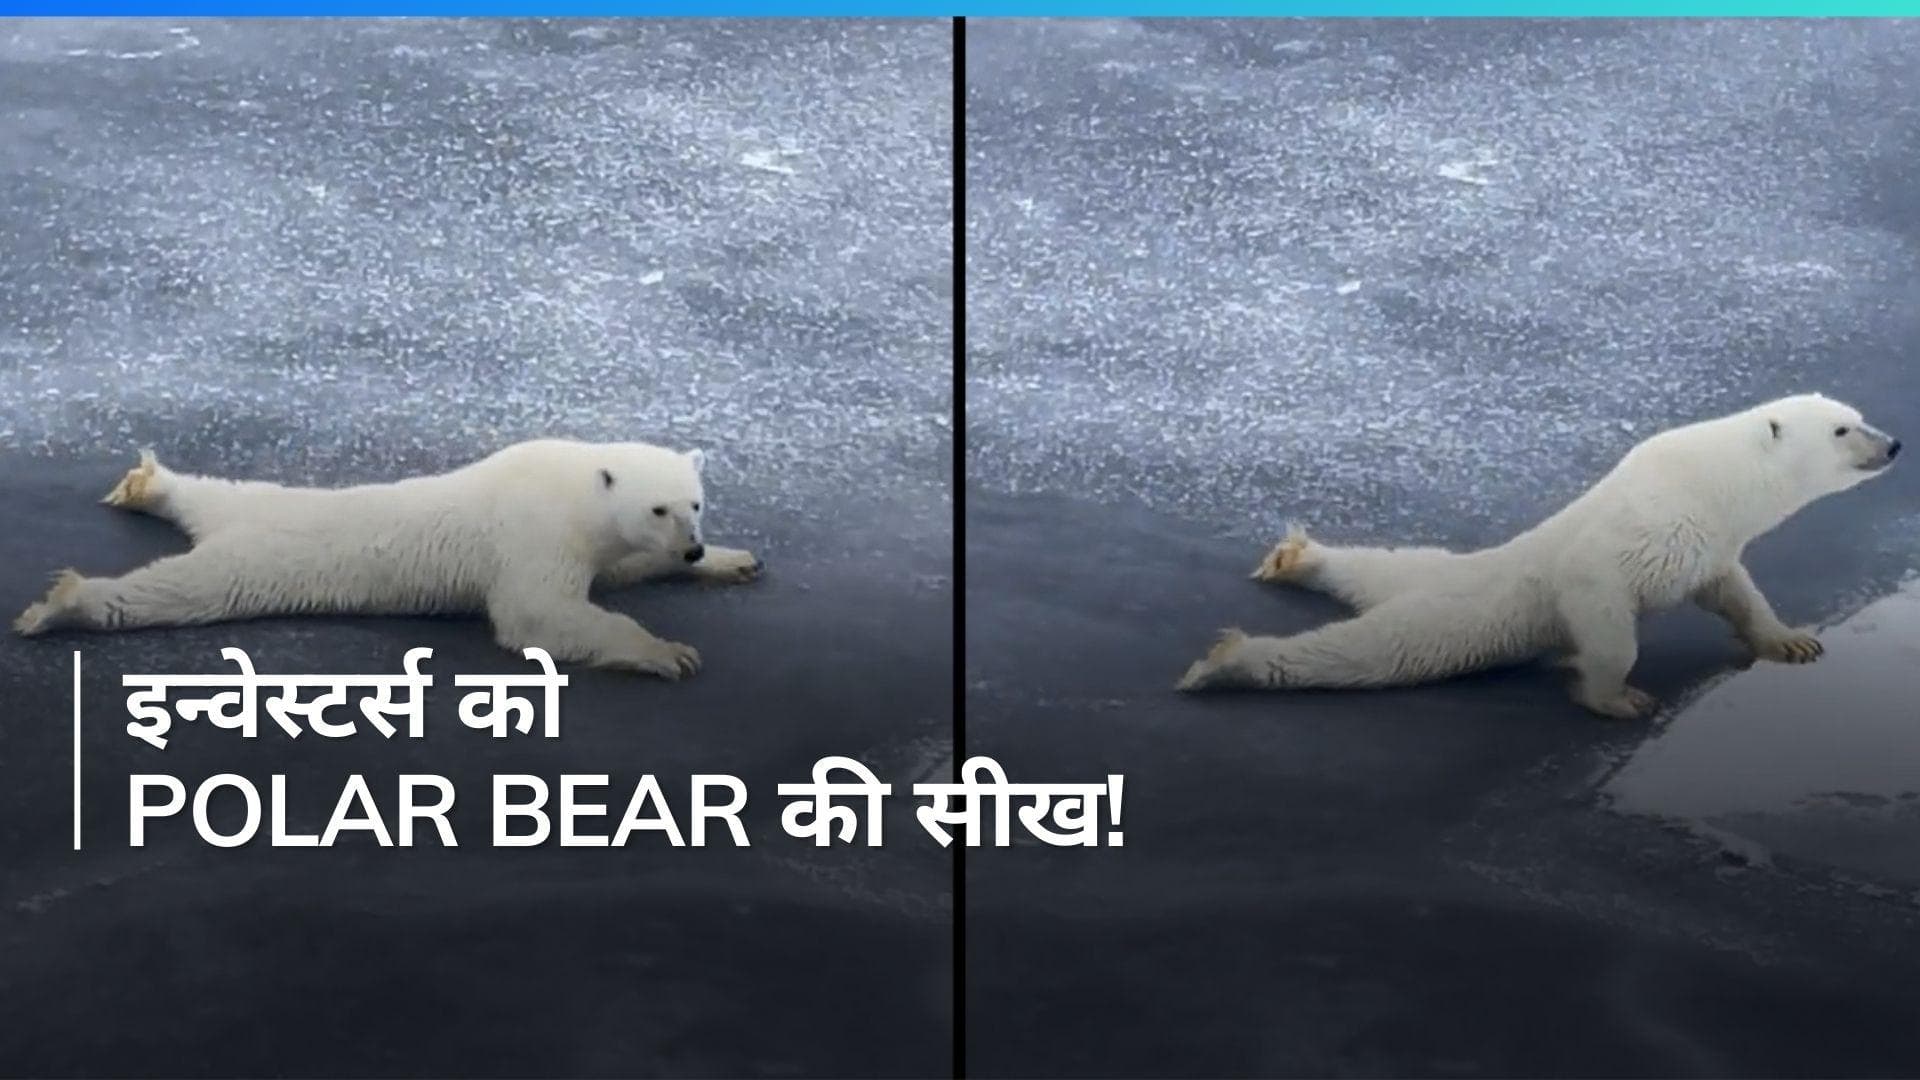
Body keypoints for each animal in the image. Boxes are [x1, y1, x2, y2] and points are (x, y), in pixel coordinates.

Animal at [12, 440, 763, 679]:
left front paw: (735, 559)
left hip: (256, 504)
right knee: (176, 590)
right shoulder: (532, 535)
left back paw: (150, 484)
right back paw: (63, 603)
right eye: (658, 508)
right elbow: (538, 616)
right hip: (257, 561)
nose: (693, 543)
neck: (572, 485)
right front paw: (668, 652)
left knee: (212, 491)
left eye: (695, 504)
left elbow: (617, 570)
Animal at [1176, 394, 1901, 719]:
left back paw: (1297, 558)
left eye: (1858, 414)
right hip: (1467, 614)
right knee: (1377, 653)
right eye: (1844, 429)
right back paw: (1224, 661)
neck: (1707, 483)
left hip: (1433, 575)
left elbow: (1736, 591)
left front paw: (1794, 641)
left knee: (1387, 566)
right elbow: (1602, 610)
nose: (1894, 443)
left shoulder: (1706, 545)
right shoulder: (1623, 541)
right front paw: (1618, 698)